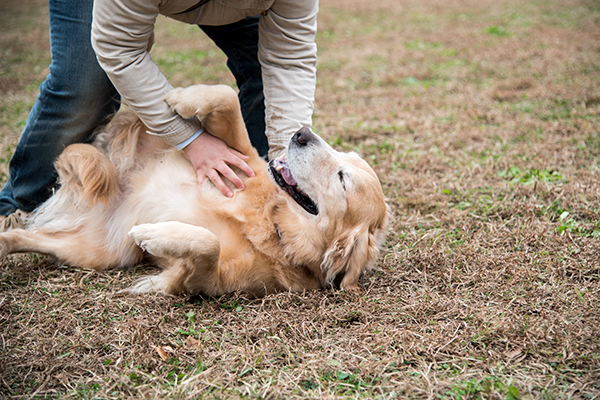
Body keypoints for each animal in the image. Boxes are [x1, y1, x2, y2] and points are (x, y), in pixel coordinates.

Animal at [0, 84, 390, 296]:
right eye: (345, 156)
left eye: (342, 178)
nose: (302, 133)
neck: (273, 222)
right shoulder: (241, 159)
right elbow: (225, 99)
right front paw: (181, 99)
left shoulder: (203, 281)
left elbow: (207, 244)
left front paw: (155, 234)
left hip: (96, 252)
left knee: (31, 239)